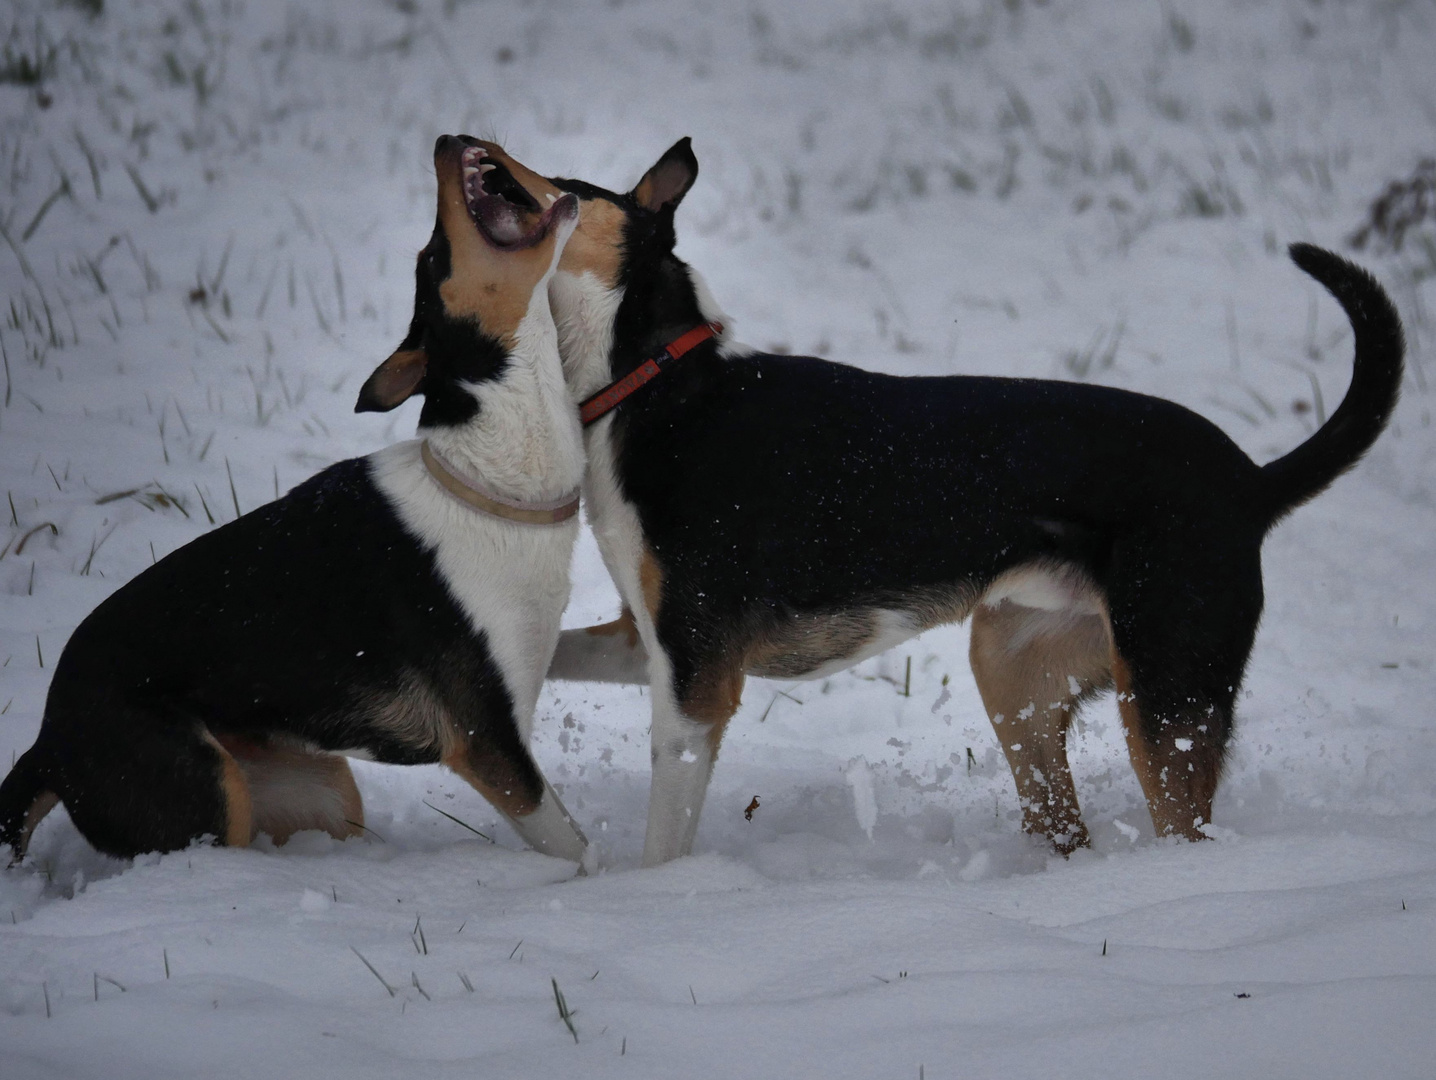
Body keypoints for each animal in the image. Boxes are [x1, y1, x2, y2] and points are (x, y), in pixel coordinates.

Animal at [0, 137, 594, 867]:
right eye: (432, 256)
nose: (446, 142)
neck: (492, 478)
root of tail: (47, 742)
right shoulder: (489, 741)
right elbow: (576, 850)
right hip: (207, 794)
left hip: (320, 792)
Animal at [465, 139, 1395, 867]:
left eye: (567, 188)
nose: (482, 156)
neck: (656, 388)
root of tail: (1251, 481)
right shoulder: (648, 643)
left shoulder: (699, 677)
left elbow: (666, 837)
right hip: (1017, 672)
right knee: (1066, 827)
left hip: (1169, 700)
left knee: (1181, 830)